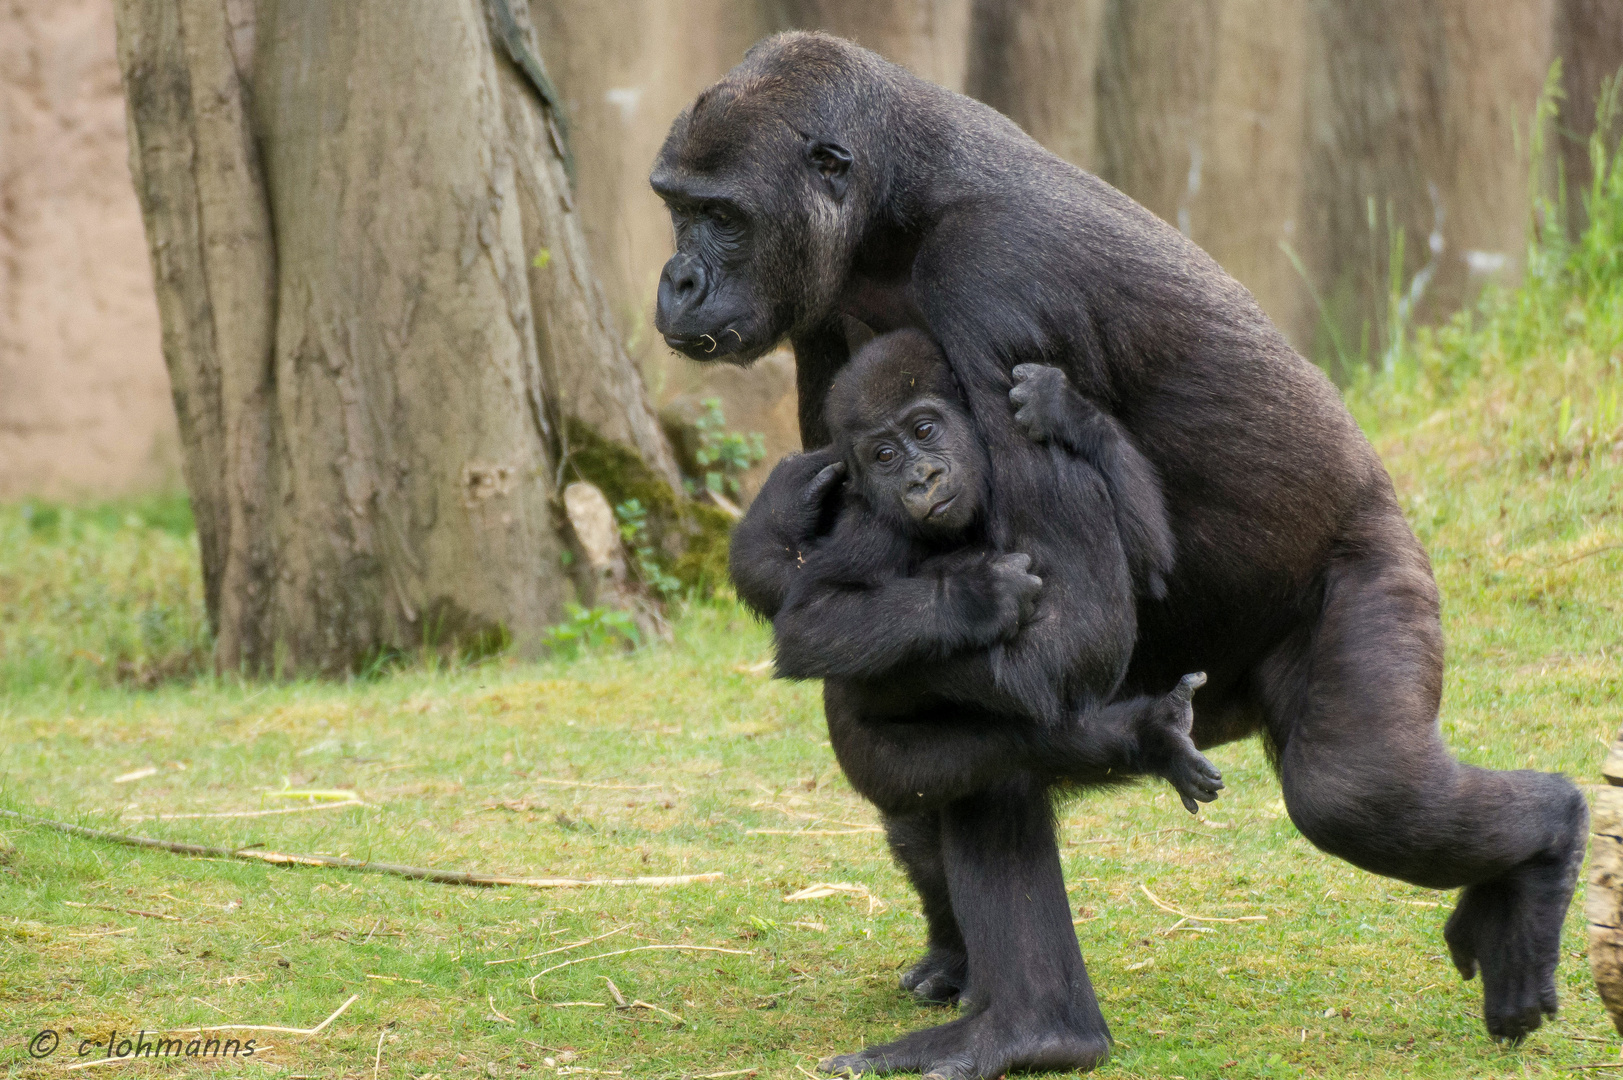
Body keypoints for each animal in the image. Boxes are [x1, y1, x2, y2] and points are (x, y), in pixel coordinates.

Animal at [645, 29, 1584, 1065]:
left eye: (719, 216)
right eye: (678, 208)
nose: (678, 280)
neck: (896, 209)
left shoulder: (995, 285)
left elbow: (1067, 634)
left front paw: (931, 612)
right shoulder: (822, 317)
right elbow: (845, 561)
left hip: (1378, 569)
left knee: (1352, 788)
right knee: (953, 740)